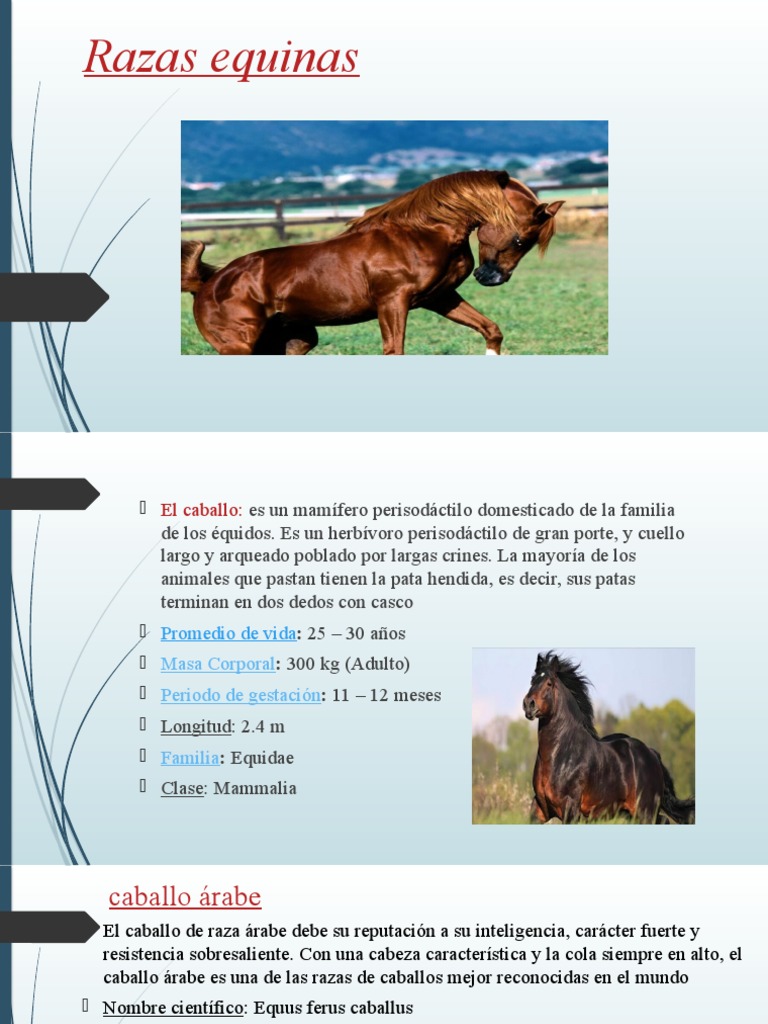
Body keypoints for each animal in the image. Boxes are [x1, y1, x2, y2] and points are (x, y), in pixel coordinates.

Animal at [181, 169, 564, 355]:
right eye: (520, 239)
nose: (491, 278)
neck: (421, 234)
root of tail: (207, 283)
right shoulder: (392, 302)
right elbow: (394, 351)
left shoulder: (439, 298)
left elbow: (491, 330)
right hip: (239, 346)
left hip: (293, 342)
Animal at [523, 652, 695, 824]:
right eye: (532, 681)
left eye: (549, 683)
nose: (528, 704)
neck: (559, 755)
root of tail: (652, 754)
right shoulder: (539, 809)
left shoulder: (570, 809)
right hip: (630, 814)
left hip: (645, 812)